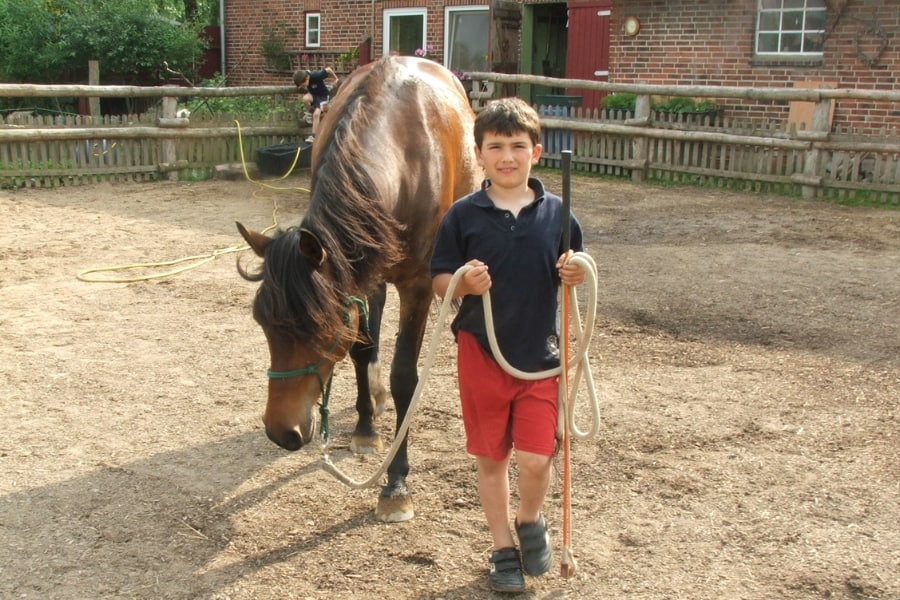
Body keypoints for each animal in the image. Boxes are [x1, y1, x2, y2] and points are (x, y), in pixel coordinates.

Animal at [237, 58, 478, 524]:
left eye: (315, 328)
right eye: (262, 324)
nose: (281, 432)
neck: (403, 151)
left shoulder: (418, 286)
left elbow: (405, 376)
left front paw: (396, 483)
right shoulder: (360, 274)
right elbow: (360, 349)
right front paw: (367, 429)